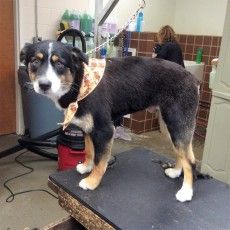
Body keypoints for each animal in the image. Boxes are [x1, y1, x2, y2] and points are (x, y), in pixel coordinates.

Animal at [20, 40, 199, 202]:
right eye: (35, 61)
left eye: (59, 64)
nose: (44, 85)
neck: (80, 82)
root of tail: (192, 78)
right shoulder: (88, 128)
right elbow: (89, 151)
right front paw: (87, 167)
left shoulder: (104, 130)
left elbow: (100, 160)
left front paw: (92, 181)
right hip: (170, 127)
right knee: (181, 153)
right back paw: (175, 172)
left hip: (178, 124)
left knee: (190, 161)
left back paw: (186, 192)